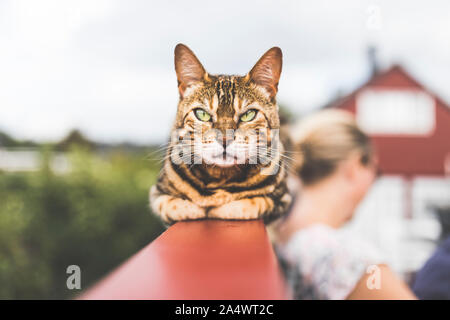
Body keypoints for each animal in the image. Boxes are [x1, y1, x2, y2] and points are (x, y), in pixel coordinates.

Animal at [150, 43, 292, 225]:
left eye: (248, 115)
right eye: (202, 114)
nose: (225, 139)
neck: (220, 178)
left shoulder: (283, 198)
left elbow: (254, 203)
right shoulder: (157, 193)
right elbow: (173, 205)